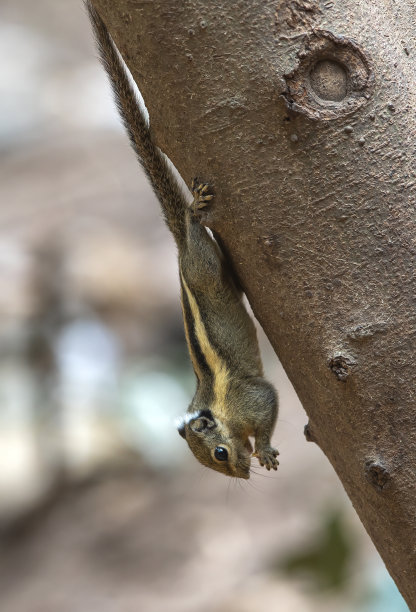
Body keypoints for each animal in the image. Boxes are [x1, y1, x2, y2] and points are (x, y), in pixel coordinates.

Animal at [85, 1, 278, 478]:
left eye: (220, 453)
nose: (241, 474)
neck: (220, 411)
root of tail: (178, 251)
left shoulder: (257, 397)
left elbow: (269, 405)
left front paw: (265, 448)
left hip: (203, 265)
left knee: (197, 235)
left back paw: (192, 211)